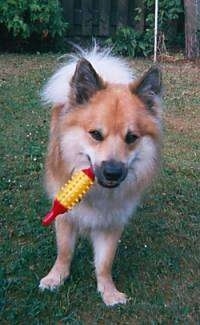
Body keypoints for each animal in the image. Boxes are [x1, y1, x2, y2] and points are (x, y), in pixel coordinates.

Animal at [39, 46, 162, 306]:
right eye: (95, 134)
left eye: (131, 137)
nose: (113, 172)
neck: (97, 193)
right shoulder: (65, 215)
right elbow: (64, 252)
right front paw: (56, 277)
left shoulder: (112, 222)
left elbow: (105, 262)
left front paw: (109, 292)